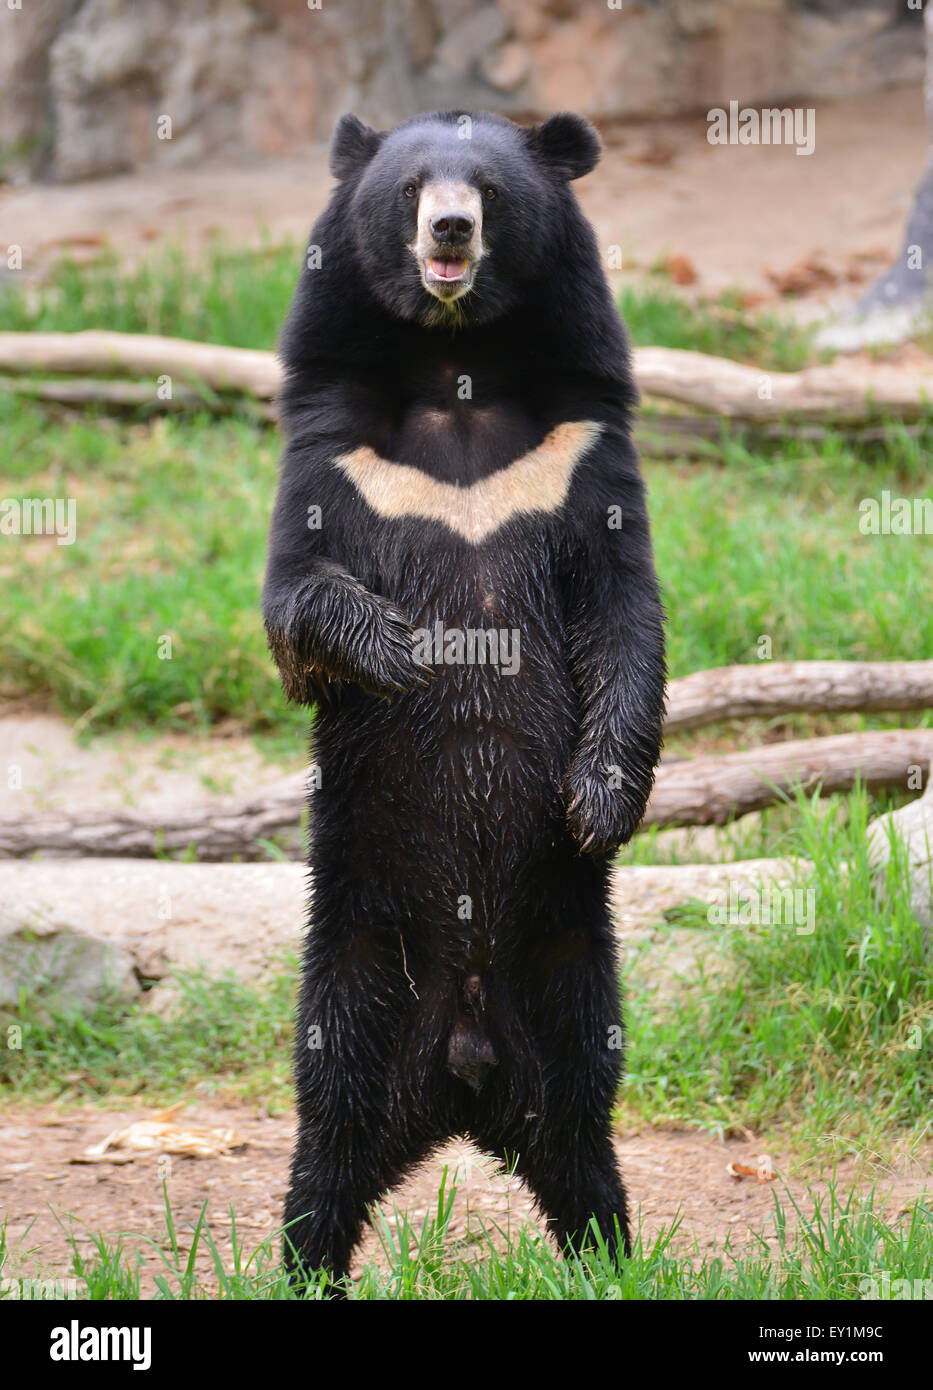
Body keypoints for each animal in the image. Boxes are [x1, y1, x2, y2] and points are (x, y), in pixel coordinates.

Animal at [262, 105, 667, 1278]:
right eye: (410, 190)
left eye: (485, 188)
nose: (448, 229)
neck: (457, 367)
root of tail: (463, 1075)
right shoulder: (335, 449)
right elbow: (292, 600)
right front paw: (404, 648)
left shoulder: (580, 448)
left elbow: (625, 616)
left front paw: (598, 801)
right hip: (355, 954)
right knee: (331, 1117)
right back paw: (304, 1261)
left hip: (573, 968)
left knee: (583, 1118)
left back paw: (609, 1251)